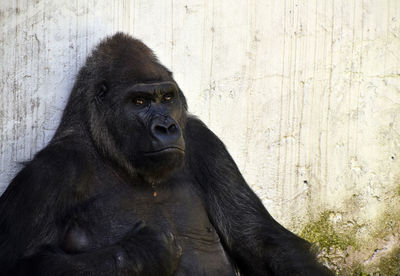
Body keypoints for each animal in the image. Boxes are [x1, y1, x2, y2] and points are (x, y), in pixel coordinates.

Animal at [0, 33, 332, 274]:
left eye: (167, 98)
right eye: (139, 102)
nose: (167, 127)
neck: (112, 155)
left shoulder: (205, 143)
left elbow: (260, 239)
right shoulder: (50, 173)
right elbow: (21, 263)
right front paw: (142, 252)